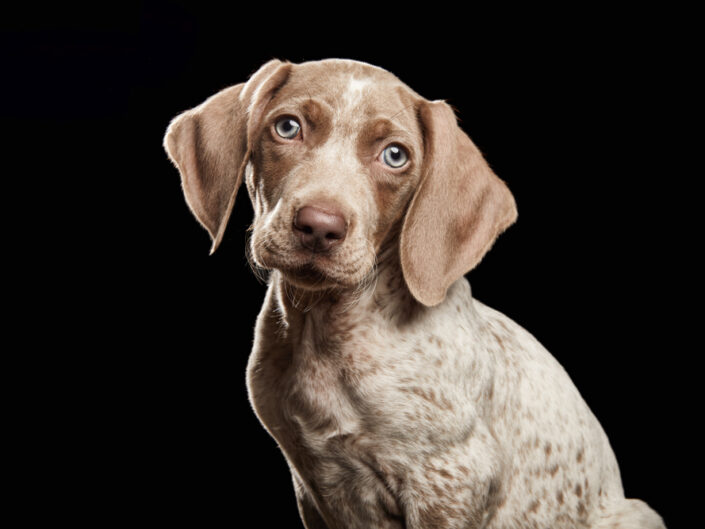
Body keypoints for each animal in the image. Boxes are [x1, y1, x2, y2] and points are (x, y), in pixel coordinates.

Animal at [165, 57, 664, 528]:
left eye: (394, 155)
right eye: (287, 127)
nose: (319, 227)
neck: (329, 329)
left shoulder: (451, 484)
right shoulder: (311, 485)